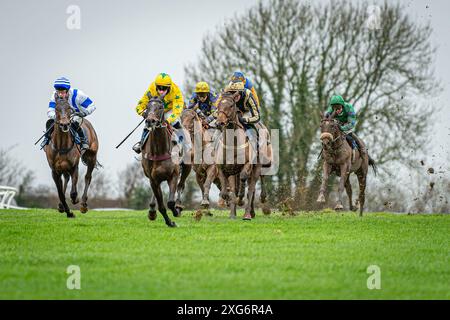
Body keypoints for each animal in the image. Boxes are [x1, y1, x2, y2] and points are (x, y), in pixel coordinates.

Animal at [141, 95, 183, 228]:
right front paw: (169, 222)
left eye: (160, 107)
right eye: (147, 107)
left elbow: (170, 202)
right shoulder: (153, 180)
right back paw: (152, 211)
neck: (160, 150)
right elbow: (161, 206)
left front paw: (175, 212)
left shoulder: (173, 175)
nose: (150, 121)